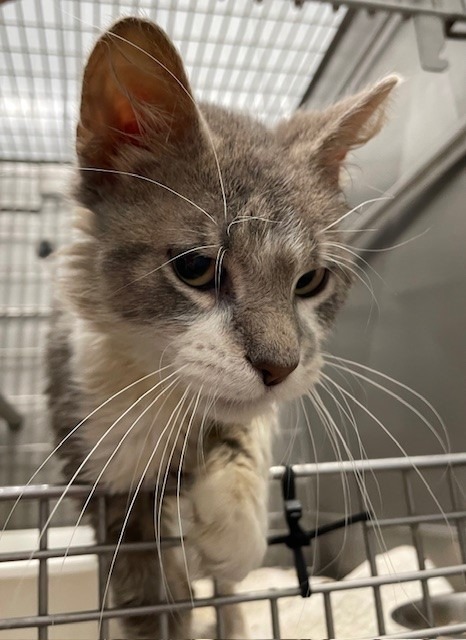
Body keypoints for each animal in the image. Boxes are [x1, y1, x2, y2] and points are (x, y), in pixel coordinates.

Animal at [46, 15, 396, 640]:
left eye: (311, 280)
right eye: (194, 267)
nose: (279, 366)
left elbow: (243, 425)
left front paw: (231, 525)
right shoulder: (94, 454)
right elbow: (147, 591)